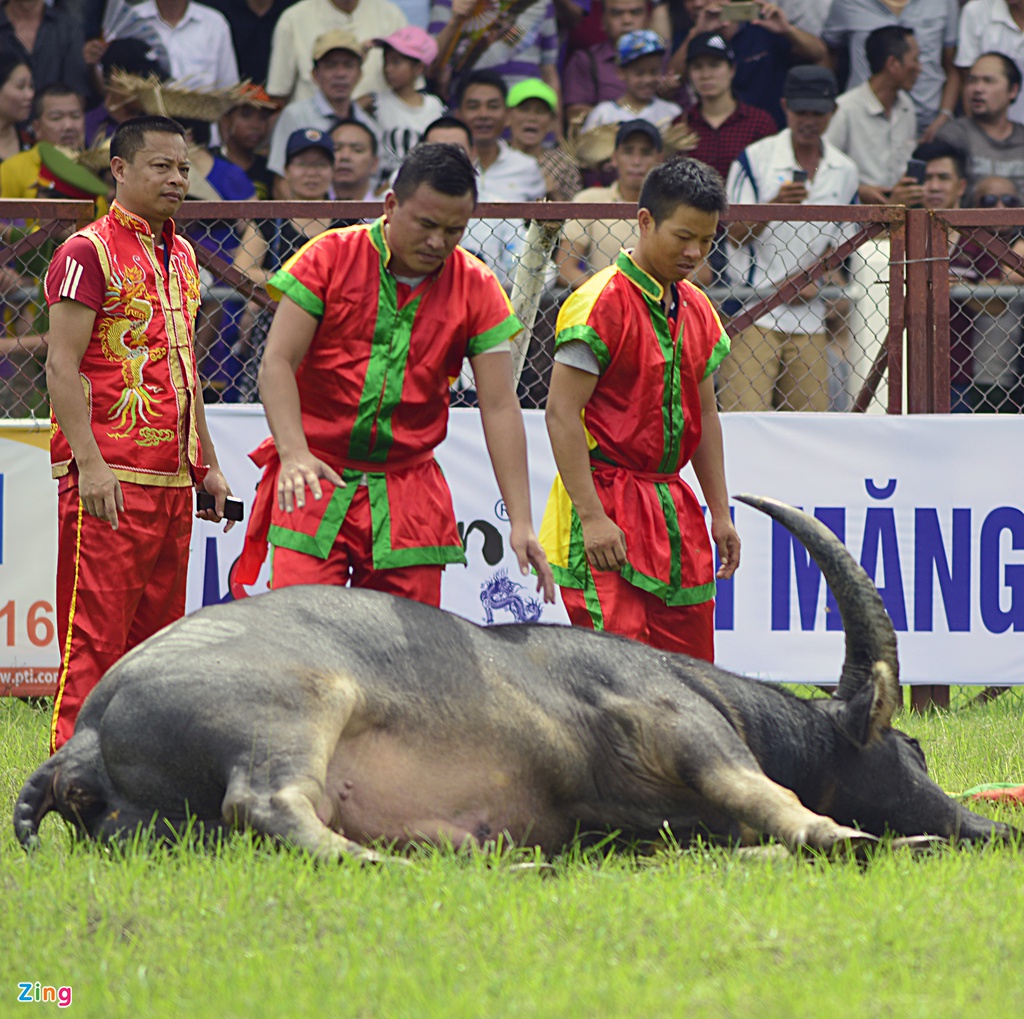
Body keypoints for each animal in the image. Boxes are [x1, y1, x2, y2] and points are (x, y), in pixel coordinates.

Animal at [14, 497, 1015, 856]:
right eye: (912, 751)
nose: (989, 826)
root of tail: (87, 729)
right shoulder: (688, 731)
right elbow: (770, 796)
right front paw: (849, 833)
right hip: (298, 710)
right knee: (265, 804)